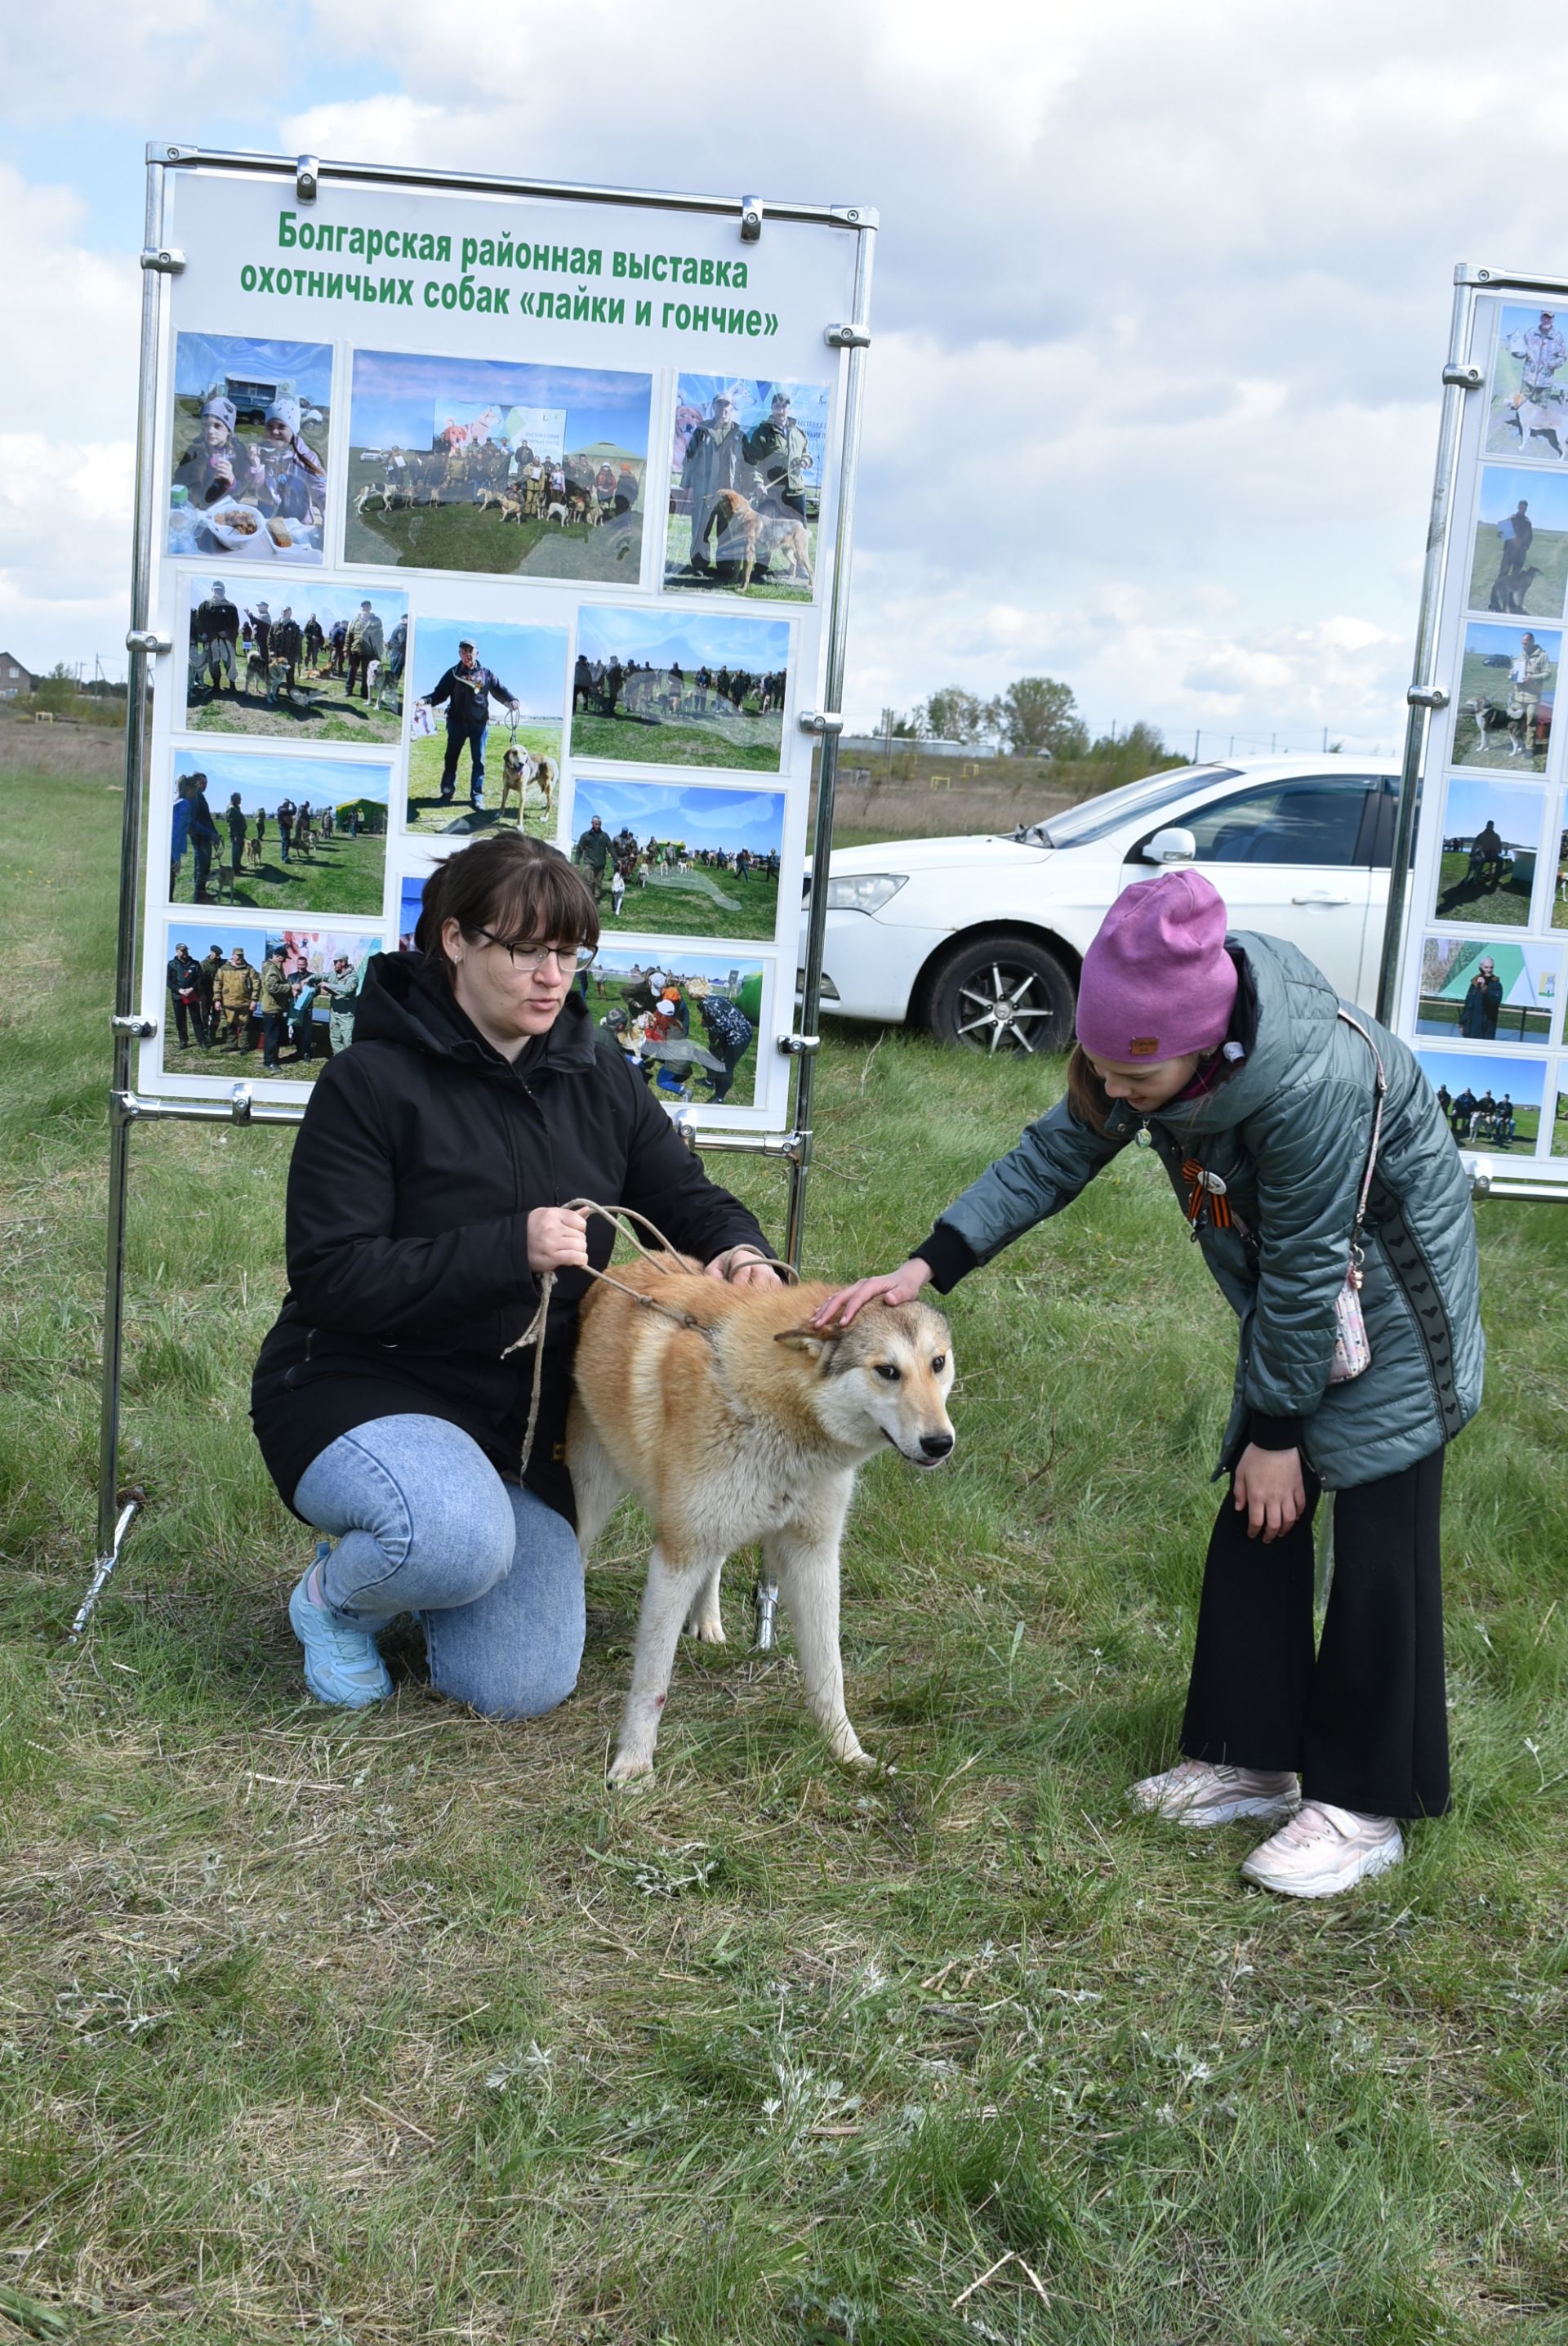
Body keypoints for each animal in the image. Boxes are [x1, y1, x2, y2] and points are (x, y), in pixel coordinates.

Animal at [564, 1266, 947, 1773]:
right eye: (887, 1371)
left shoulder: (814, 1554)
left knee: (716, 1564)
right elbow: (652, 1683)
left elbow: (830, 1674)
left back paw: (707, 1620)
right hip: (593, 1499)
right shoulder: (677, 1555)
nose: (941, 1442)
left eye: (938, 1363)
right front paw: (632, 1765)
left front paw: (848, 1755)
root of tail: (619, 1272)